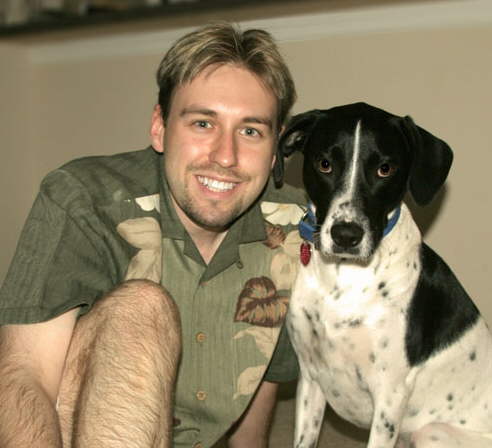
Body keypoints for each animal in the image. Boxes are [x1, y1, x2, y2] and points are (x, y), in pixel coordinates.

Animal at [273, 103, 492, 448]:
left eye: (385, 169)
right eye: (324, 164)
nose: (346, 234)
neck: (343, 279)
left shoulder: (389, 397)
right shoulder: (310, 379)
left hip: (431, 434)